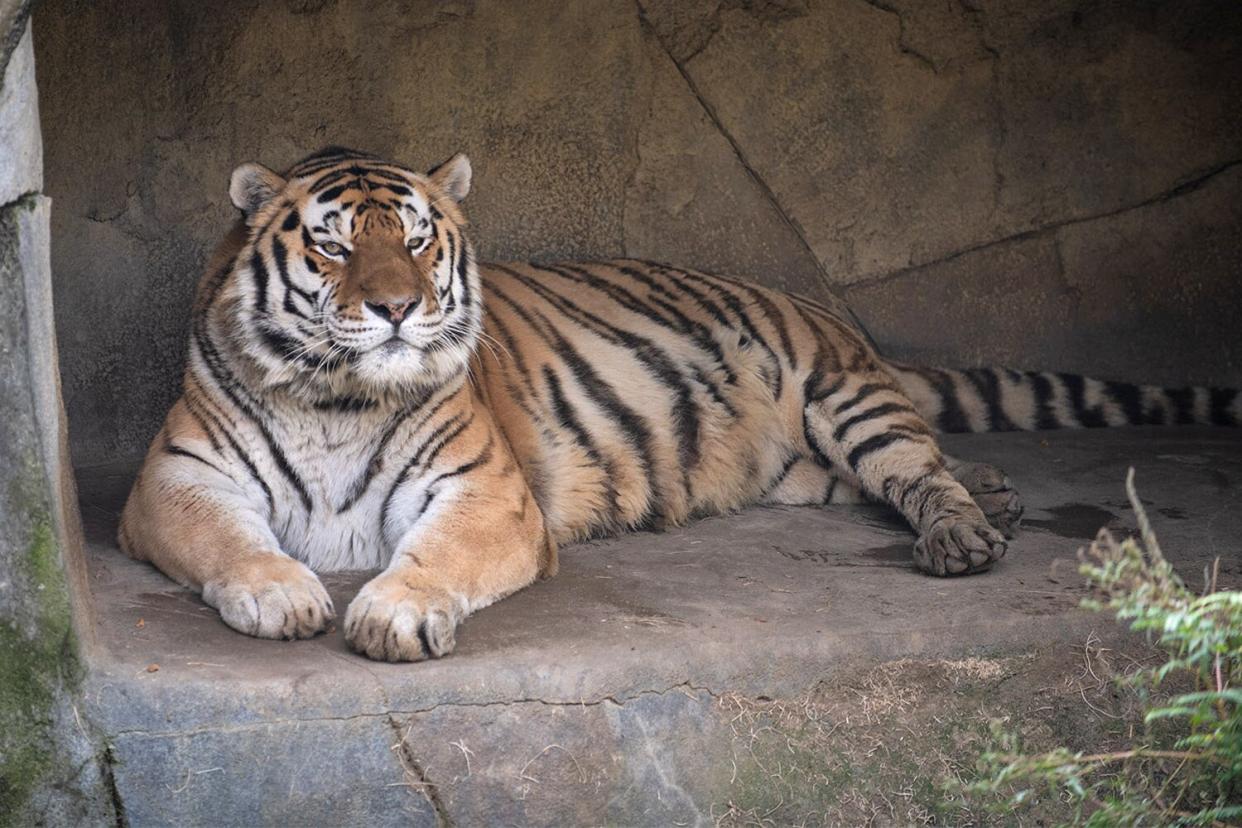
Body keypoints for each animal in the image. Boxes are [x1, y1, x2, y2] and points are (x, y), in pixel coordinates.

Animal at [118, 148, 1242, 665]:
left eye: (421, 240)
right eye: (335, 245)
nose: (396, 308)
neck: (340, 395)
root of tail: (825, 313)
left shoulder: (486, 493)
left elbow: (430, 559)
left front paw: (391, 612)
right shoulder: (175, 480)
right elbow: (231, 542)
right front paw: (282, 594)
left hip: (846, 400)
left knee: (918, 469)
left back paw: (967, 535)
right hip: (806, 473)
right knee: (907, 472)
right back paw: (999, 495)